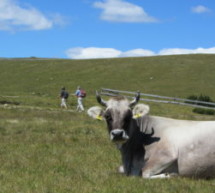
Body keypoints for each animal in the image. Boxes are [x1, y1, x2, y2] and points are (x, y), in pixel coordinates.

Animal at [87, 92, 215, 179]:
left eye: (129, 116)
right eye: (107, 116)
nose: (118, 134)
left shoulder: (167, 155)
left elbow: (143, 173)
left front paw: (168, 175)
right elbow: (119, 169)